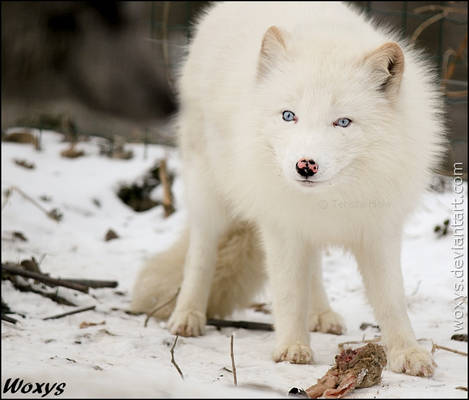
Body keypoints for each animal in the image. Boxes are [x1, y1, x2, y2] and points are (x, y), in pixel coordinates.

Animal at [131, 0, 442, 378]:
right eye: (289, 115)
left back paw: (321, 314)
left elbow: (392, 300)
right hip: (207, 191)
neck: (332, 200)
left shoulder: (378, 231)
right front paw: (293, 347)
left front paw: (408, 352)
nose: (305, 166)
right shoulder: (281, 228)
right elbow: (289, 293)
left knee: (314, 267)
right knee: (201, 254)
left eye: (342, 122)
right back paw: (187, 315)